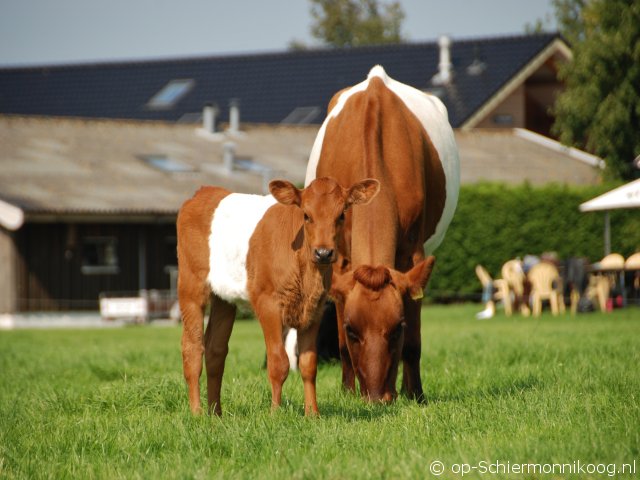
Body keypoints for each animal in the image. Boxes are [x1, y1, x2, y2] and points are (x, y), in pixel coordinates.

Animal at [176, 176, 380, 416]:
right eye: (306, 215)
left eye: (341, 215)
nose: (323, 253)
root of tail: (203, 192)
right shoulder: (267, 303)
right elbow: (278, 362)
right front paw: (275, 413)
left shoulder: (315, 308)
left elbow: (308, 364)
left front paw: (313, 414)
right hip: (191, 287)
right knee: (192, 348)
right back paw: (197, 412)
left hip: (223, 298)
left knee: (215, 349)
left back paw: (216, 413)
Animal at [304, 63, 460, 402]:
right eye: (352, 329)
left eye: (397, 327)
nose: (376, 398)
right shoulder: (340, 257)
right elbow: (340, 344)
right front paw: (348, 391)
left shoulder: (413, 253)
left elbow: (413, 343)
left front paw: (415, 394)